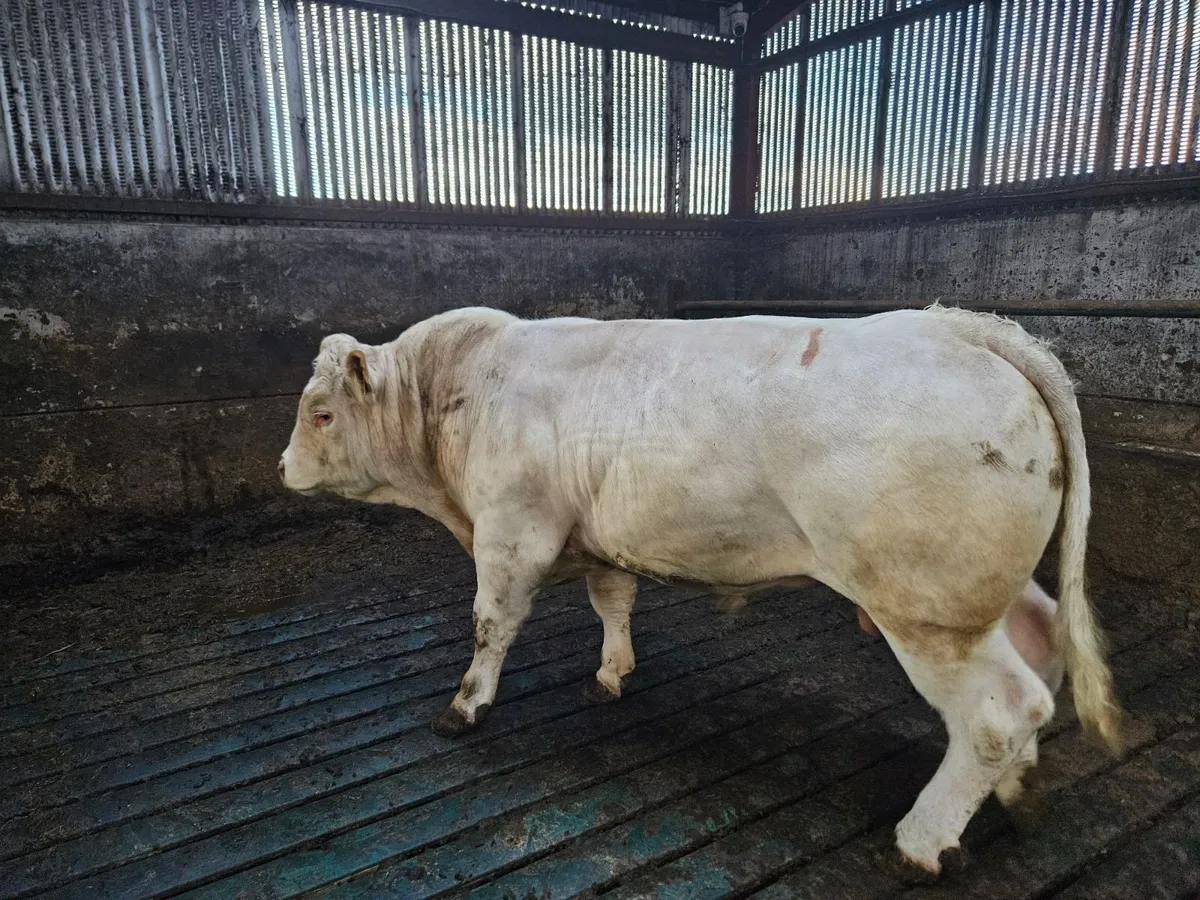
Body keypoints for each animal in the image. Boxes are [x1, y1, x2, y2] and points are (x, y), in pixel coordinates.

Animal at [279, 304, 1121, 876]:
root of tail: (964, 327)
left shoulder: (513, 531)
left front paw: (465, 706)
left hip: (926, 610)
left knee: (999, 711)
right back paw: (1016, 789)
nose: (282, 467)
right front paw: (611, 673)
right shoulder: (599, 536)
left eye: (320, 413)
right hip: (984, 594)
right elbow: (613, 602)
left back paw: (922, 840)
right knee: (1041, 646)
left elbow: (492, 622)